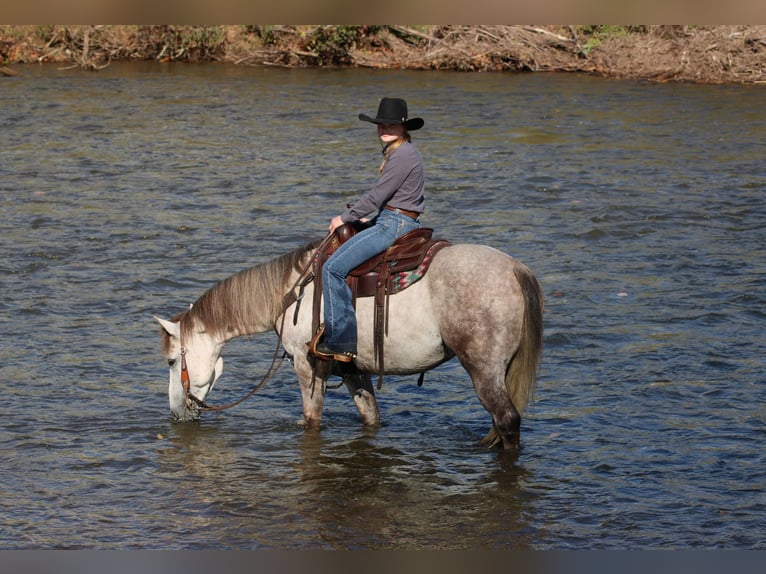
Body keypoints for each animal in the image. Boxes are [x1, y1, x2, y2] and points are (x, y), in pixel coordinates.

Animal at [154, 237, 543, 450]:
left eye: (172, 361)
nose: (175, 413)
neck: (291, 292)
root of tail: (514, 268)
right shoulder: (354, 369)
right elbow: (370, 416)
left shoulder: (306, 365)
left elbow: (311, 419)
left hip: (483, 369)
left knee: (507, 420)